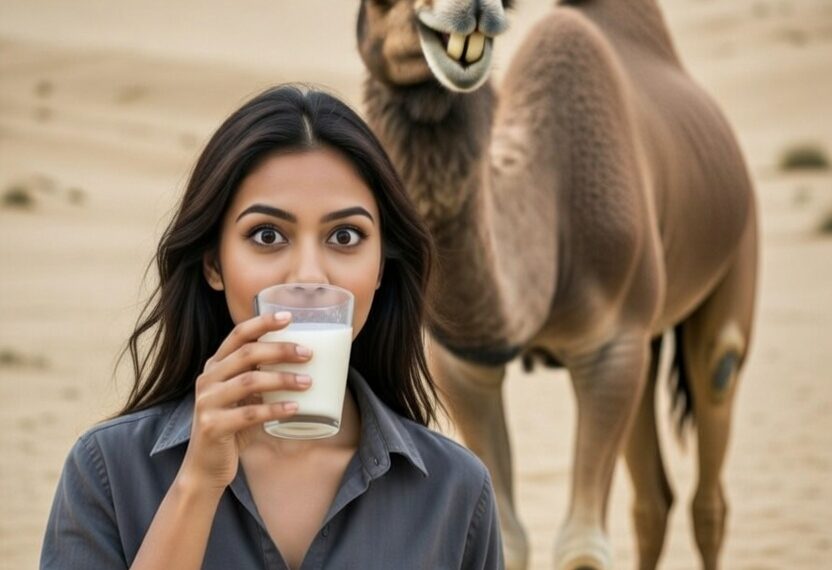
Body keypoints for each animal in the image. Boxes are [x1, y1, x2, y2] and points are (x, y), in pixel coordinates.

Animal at [355, 1, 757, 568]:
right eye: (375, 5)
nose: (470, 10)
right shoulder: (465, 364)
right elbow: (505, 529)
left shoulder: (610, 345)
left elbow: (582, 546)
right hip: (646, 342)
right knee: (652, 499)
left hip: (736, 247)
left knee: (713, 435)